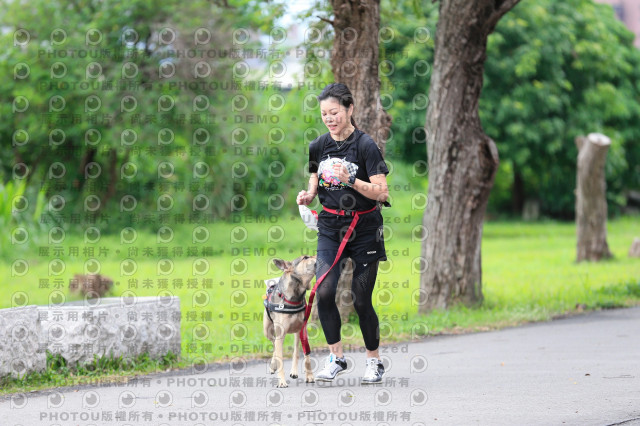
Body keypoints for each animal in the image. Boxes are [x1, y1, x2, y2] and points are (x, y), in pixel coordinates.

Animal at [264, 255, 316, 388]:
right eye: (305, 257)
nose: (317, 254)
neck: (295, 297)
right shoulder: (280, 333)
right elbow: (280, 357)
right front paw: (281, 381)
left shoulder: (303, 329)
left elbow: (306, 355)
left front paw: (310, 376)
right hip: (267, 330)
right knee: (274, 343)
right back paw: (273, 365)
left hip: (296, 333)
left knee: (295, 351)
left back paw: (293, 371)